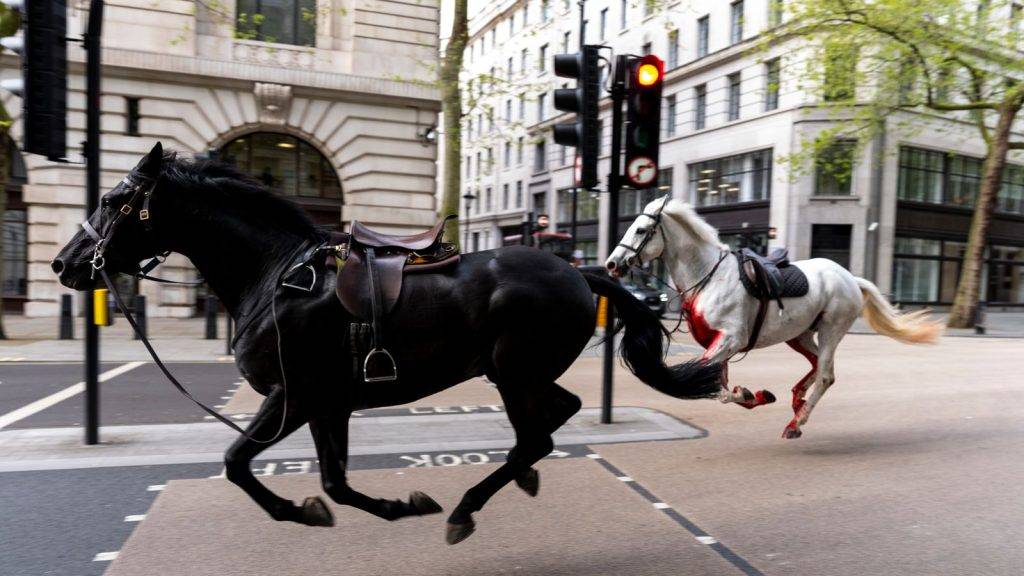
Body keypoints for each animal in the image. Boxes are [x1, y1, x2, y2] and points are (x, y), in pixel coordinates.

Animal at [52, 143, 721, 544]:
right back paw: (517, 479)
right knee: (556, 418)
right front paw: (391, 506)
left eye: (112, 200)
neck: (275, 276)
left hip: (512, 372)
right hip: (518, 373)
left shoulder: (293, 396)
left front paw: (300, 511)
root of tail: (578, 272)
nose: (64, 264)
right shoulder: (327, 404)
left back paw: (467, 507)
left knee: (537, 434)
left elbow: (238, 463)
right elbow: (333, 482)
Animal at [606, 197, 942, 439]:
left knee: (826, 375)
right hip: (800, 334)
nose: (611, 264)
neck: (709, 277)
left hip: (831, 329)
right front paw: (753, 394)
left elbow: (708, 385)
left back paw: (797, 422)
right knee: (817, 365)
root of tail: (849, 277)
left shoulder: (730, 339)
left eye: (640, 230)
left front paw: (748, 393)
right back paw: (797, 402)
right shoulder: (719, 343)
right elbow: (717, 386)